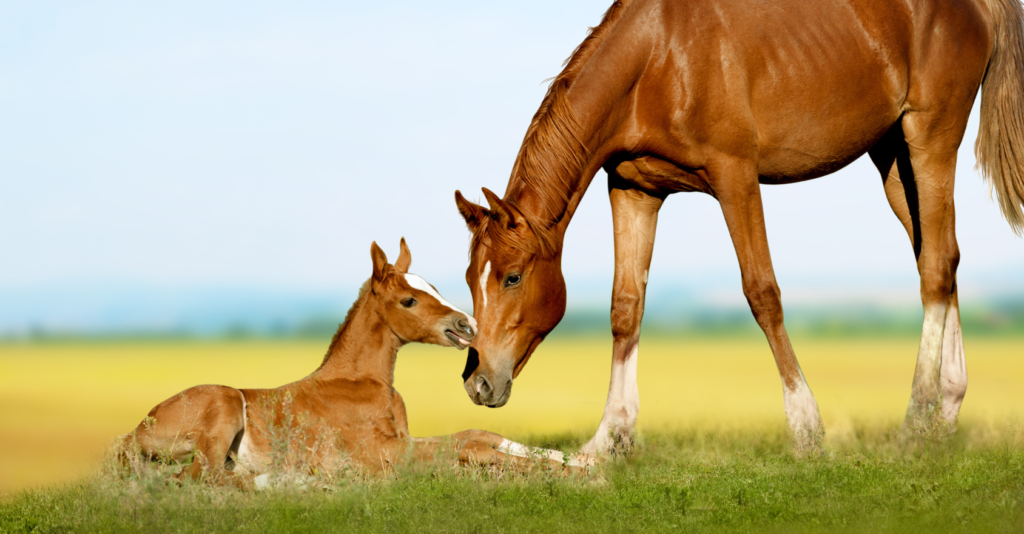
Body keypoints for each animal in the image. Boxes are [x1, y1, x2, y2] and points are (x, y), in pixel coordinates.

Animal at [123, 239, 569, 481]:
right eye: (408, 300)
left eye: (433, 286)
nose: (468, 324)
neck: (361, 385)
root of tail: (133, 434)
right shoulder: (381, 452)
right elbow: (472, 448)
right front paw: (571, 473)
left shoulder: (403, 440)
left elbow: (476, 434)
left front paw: (570, 460)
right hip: (225, 402)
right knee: (200, 477)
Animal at [456, 0, 1024, 450]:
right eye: (469, 279)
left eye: (512, 277)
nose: (477, 382)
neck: (657, 59)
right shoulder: (633, 190)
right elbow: (626, 307)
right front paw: (608, 437)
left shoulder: (735, 178)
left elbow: (762, 292)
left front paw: (805, 427)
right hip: (892, 156)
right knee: (942, 257)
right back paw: (945, 412)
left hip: (930, 136)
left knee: (935, 265)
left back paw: (917, 417)